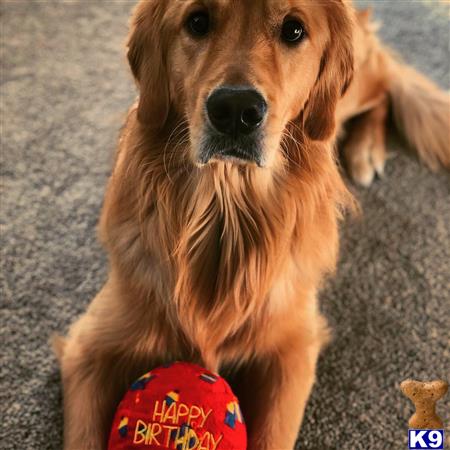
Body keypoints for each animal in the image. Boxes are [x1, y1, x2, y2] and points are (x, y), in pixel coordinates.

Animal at [56, 1, 450, 448]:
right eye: (197, 21)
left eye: (294, 30)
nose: (235, 111)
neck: (225, 211)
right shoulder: (89, 347)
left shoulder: (292, 349)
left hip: (350, 92)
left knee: (384, 82)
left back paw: (366, 150)